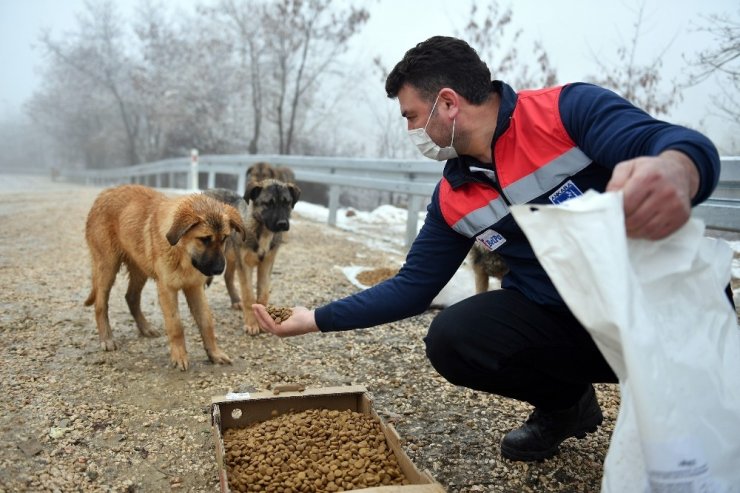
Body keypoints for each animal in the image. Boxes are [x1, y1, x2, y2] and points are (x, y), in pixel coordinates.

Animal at [84, 184, 246, 368]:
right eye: (204, 239)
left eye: (225, 238)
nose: (219, 269)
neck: (183, 254)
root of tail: (105, 192)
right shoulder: (167, 289)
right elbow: (176, 325)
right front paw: (180, 357)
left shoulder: (195, 288)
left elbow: (206, 322)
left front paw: (214, 353)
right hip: (107, 267)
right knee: (100, 305)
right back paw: (107, 338)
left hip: (140, 269)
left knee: (131, 297)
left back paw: (145, 328)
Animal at [204, 173, 300, 330]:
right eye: (268, 204)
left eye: (287, 203)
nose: (282, 224)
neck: (263, 231)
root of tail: (208, 191)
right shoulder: (245, 266)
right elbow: (249, 296)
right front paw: (251, 323)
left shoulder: (266, 264)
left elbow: (263, 293)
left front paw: (263, 319)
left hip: (231, 255)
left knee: (228, 277)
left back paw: (235, 300)